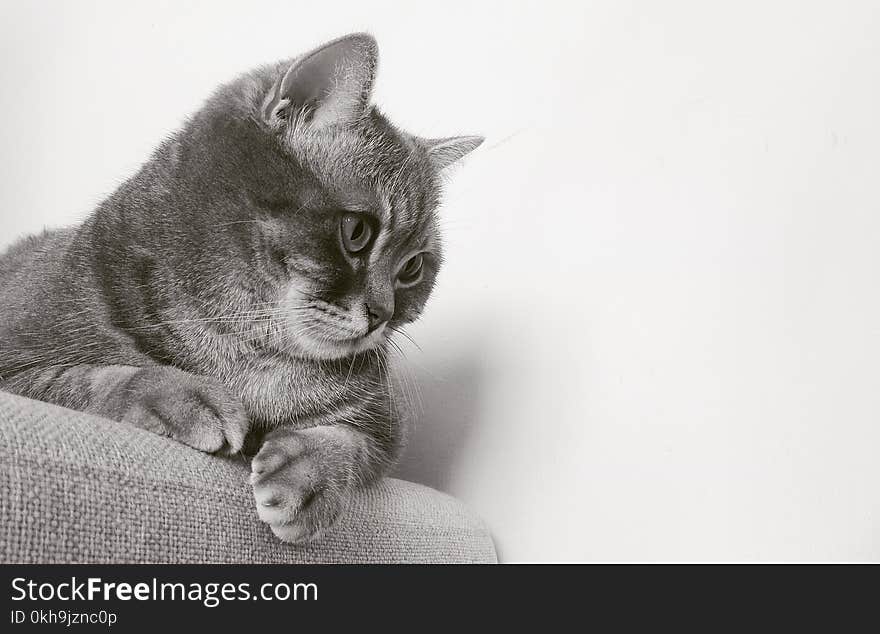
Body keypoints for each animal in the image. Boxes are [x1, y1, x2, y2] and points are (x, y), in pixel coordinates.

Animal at [0, 32, 482, 540]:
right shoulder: (17, 358)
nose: (383, 314)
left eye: (413, 268)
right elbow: (91, 376)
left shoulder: (385, 426)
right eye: (357, 232)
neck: (247, 344)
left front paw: (307, 474)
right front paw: (184, 395)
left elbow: (345, 439)